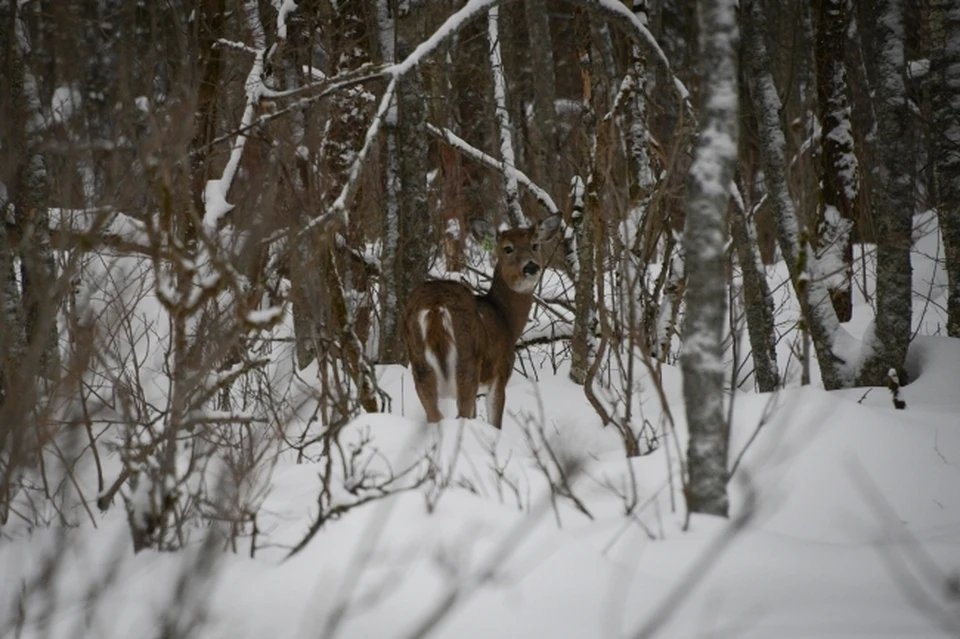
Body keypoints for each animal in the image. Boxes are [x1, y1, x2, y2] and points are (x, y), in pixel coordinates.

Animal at [404, 215, 564, 430]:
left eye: (535, 245)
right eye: (507, 248)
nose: (531, 267)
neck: (505, 319)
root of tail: (436, 306)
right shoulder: (499, 374)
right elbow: (495, 423)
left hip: (419, 364)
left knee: (434, 415)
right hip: (467, 363)